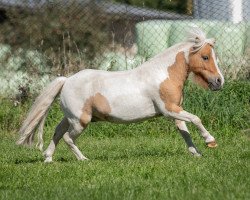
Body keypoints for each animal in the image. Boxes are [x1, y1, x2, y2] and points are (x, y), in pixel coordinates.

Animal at [17, 26, 225, 162]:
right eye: (205, 57)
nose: (219, 81)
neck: (163, 74)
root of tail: (66, 80)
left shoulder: (175, 111)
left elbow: (185, 132)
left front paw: (196, 153)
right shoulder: (169, 110)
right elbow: (196, 119)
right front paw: (210, 142)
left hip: (72, 118)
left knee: (58, 131)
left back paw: (48, 158)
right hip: (80, 121)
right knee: (68, 137)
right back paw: (83, 159)